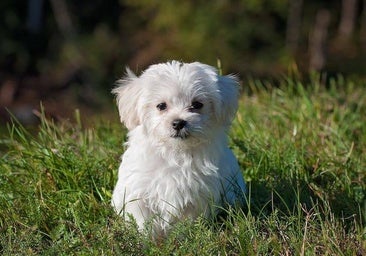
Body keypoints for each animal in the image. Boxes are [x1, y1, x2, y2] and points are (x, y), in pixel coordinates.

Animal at [111, 60, 246, 236]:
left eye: (197, 104)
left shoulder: (197, 196)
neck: (175, 152)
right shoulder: (138, 192)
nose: (178, 122)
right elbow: (143, 220)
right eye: (161, 106)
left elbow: (187, 221)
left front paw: (183, 236)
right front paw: (147, 239)